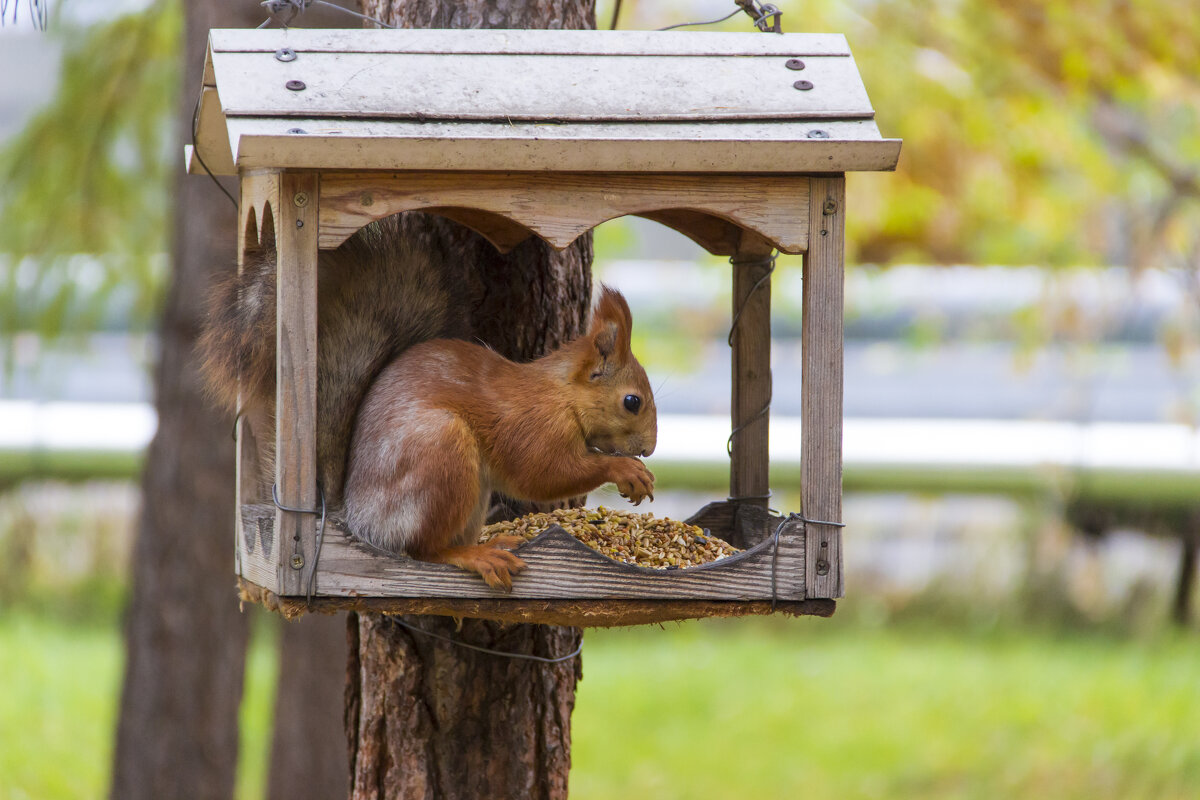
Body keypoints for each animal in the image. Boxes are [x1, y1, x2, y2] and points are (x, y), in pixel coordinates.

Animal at [196, 212, 657, 587]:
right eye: (632, 401)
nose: (651, 449)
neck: (562, 394)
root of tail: (361, 519)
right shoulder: (533, 425)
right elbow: (544, 473)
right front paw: (625, 470)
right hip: (441, 453)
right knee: (425, 551)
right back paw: (476, 556)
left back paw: (498, 542)